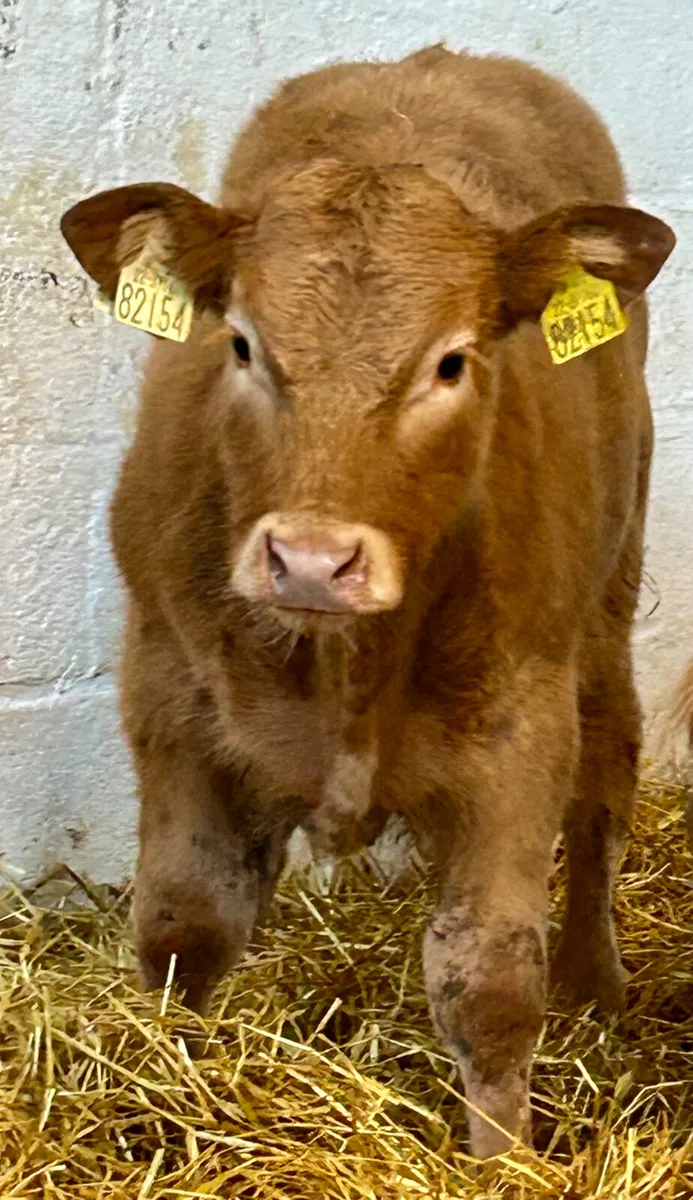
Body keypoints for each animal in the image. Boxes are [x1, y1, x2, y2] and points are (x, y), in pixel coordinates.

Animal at [60, 45, 675, 1160]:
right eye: (242, 344)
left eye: (451, 361)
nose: (311, 560)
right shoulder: (169, 697)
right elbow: (185, 925)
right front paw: (175, 1083)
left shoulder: (518, 730)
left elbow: (488, 984)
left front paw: (503, 1162)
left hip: (608, 605)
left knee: (607, 781)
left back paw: (595, 980)